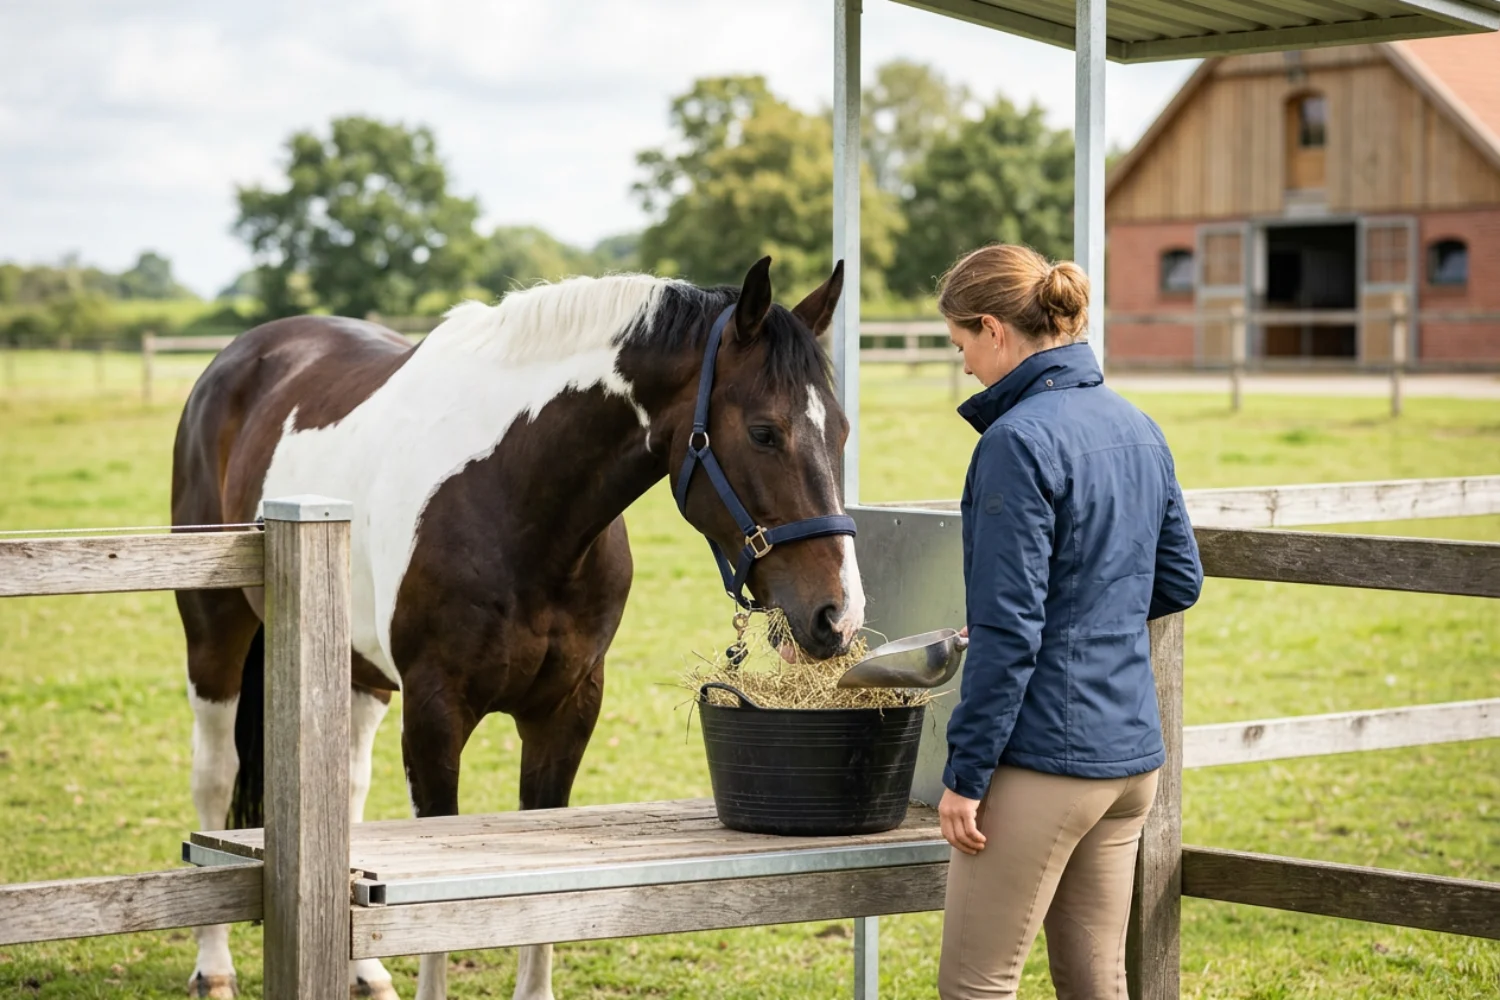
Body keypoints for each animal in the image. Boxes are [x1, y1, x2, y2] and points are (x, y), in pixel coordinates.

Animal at [170, 257, 864, 1000]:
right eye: (764, 432)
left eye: (842, 431)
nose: (838, 616)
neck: (515, 499)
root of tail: (245, 354)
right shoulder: (435, 714)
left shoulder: (566, 711)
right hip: (213, 633)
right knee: (214, 775)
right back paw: (213, 966)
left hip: (358, 669)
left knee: (347, 790)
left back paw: (366, 973)